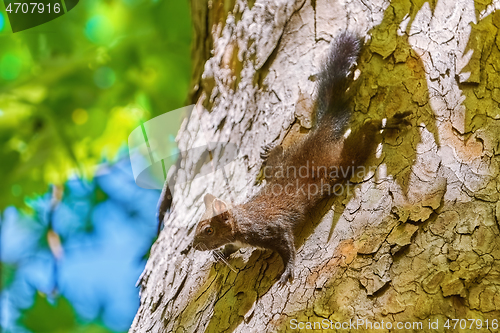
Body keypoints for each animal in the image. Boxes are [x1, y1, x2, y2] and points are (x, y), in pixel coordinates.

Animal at [191, 31, 410, 286]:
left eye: (208, 230)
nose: (194, 246)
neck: (242, 221)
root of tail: (320, 134)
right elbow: (232, 247)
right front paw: (220, 253)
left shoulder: (272, 228)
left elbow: (288, 246)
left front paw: (287, 270)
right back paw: (271, 152)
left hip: (343, 157)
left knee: (365, 134)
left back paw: (384, 123)